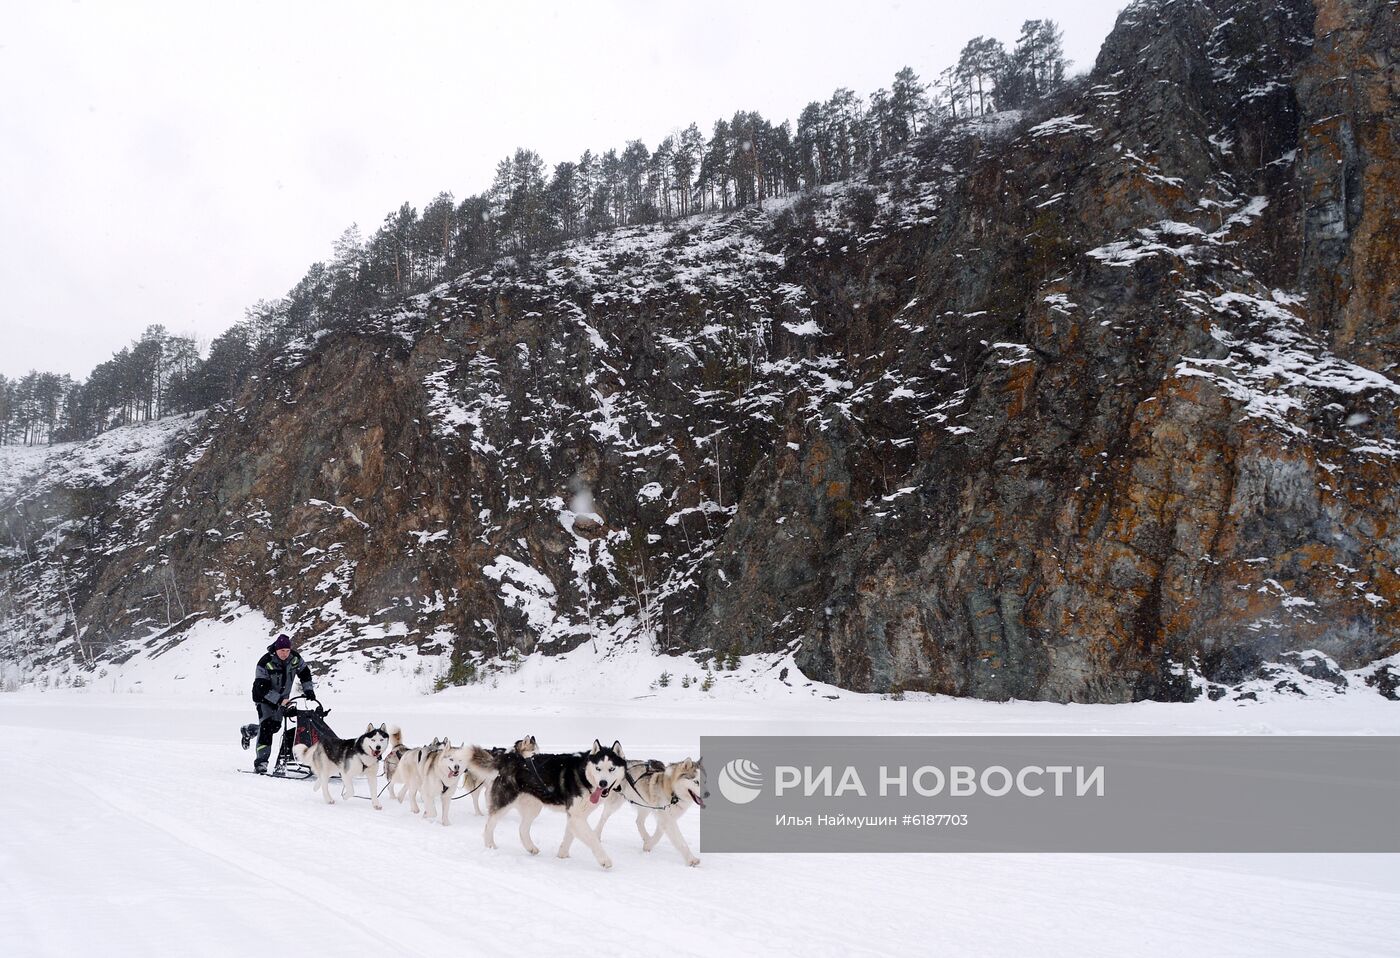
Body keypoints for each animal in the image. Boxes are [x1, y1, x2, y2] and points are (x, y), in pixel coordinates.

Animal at [470, 739, 624, 873]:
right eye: (598, 768)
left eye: (612, 769)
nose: (603, 783)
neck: (583, 775)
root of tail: (509, 757)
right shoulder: (577, 816)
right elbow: (592, 838)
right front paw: (604, 860)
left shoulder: (575, 816)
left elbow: (569, 836)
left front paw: (562, 855)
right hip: (505, 802)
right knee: (489, 824)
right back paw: (490, 846)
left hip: (533, 807)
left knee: (522, 828)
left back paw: (530, 847)